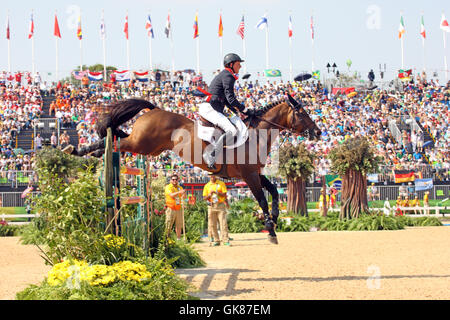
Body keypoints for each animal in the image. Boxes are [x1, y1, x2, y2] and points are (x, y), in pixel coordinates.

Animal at [65, 95, 322, 245]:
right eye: (302, 113)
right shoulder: (249, 176)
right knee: (116, 140)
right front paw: (270, 228)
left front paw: (275, 220)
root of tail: (154, 109)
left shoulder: (253, 174)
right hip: (141, 144)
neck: (256, 134)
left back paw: (86, 152)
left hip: (150, 148)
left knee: (116, 137)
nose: (319, 133)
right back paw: (78, 150)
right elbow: (262, 198)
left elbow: (275, 192)